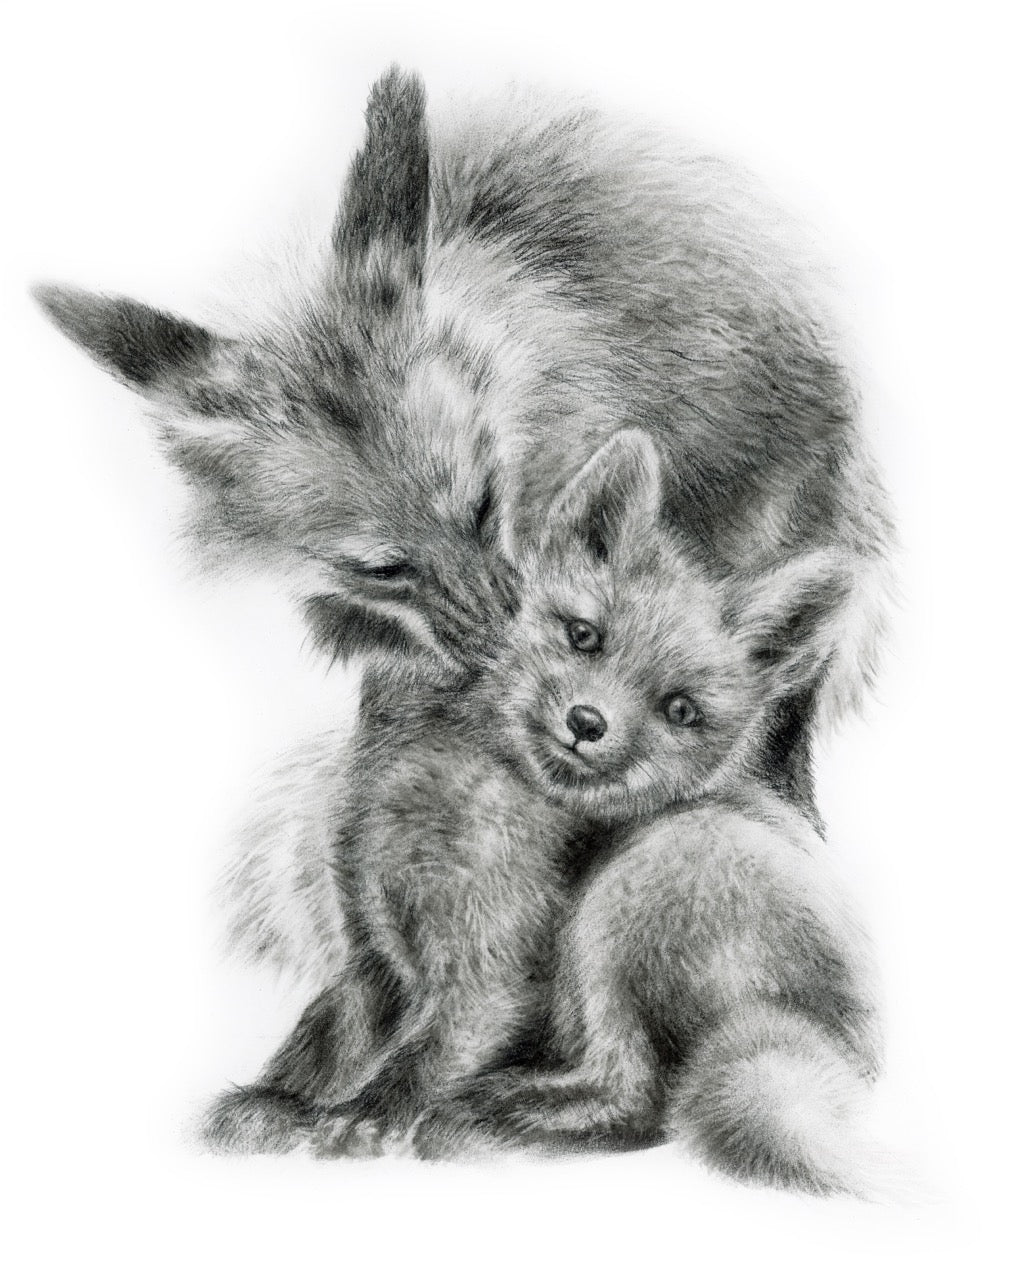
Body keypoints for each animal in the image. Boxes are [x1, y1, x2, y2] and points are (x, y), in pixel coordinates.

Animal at [205, 430, 882, 1195]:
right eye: (583, 636)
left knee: (641, 1098)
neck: (438, 809)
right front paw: (275, 1104)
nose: (587, 723)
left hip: (637, 885)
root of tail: (850, 1050)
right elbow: (323, 1041)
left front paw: (366, 1118)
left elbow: (422, 1056)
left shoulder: (494, 976)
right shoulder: (373, 953)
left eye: (679, 710)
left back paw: (497, 1113)